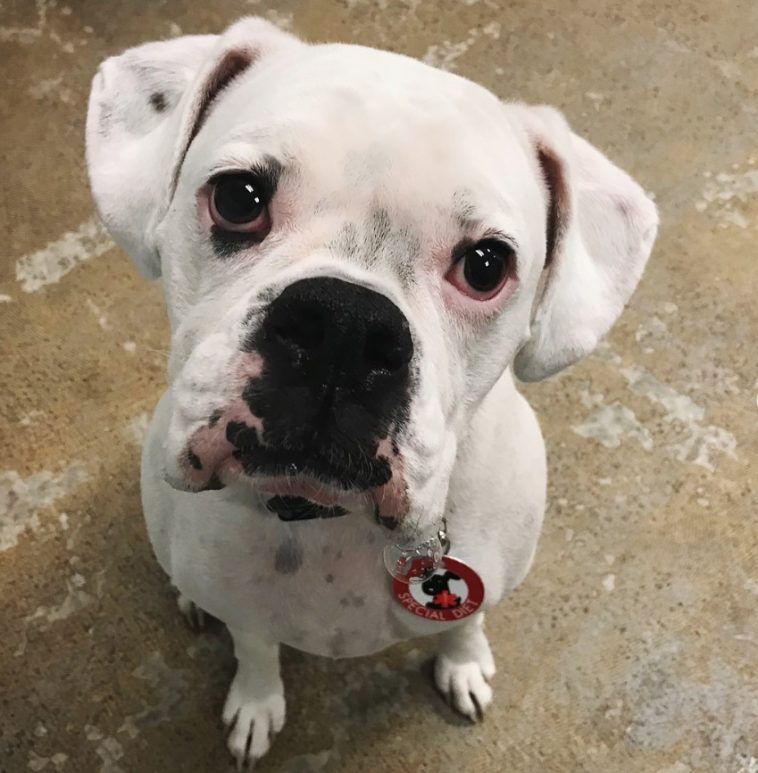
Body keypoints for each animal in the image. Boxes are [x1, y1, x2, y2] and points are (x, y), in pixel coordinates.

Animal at [87, 18, 660, 764]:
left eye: (486, 265)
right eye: (239, 198)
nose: (344, 325)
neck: (326, 515)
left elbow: (466, 622)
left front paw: (464, 663)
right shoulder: (246, 609)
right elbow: (255, 647)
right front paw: (256, 704)